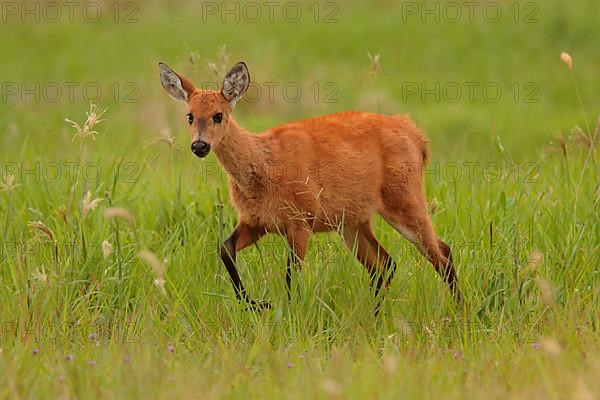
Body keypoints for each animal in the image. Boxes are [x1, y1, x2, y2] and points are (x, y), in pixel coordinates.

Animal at [157, 61, 462, 314]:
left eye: (219, 115)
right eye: (190, 116)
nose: (199, 145)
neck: (263, 166)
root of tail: (417, 136)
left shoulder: (300, 221)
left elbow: (291, 278)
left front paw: (284, 314)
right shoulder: (256, 222)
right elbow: (224, 250)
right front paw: (255, 303)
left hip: (404, 199)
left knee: (442, 253)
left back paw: (460, 311)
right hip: (352, 223)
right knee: (386, 265)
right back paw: (375, 316)